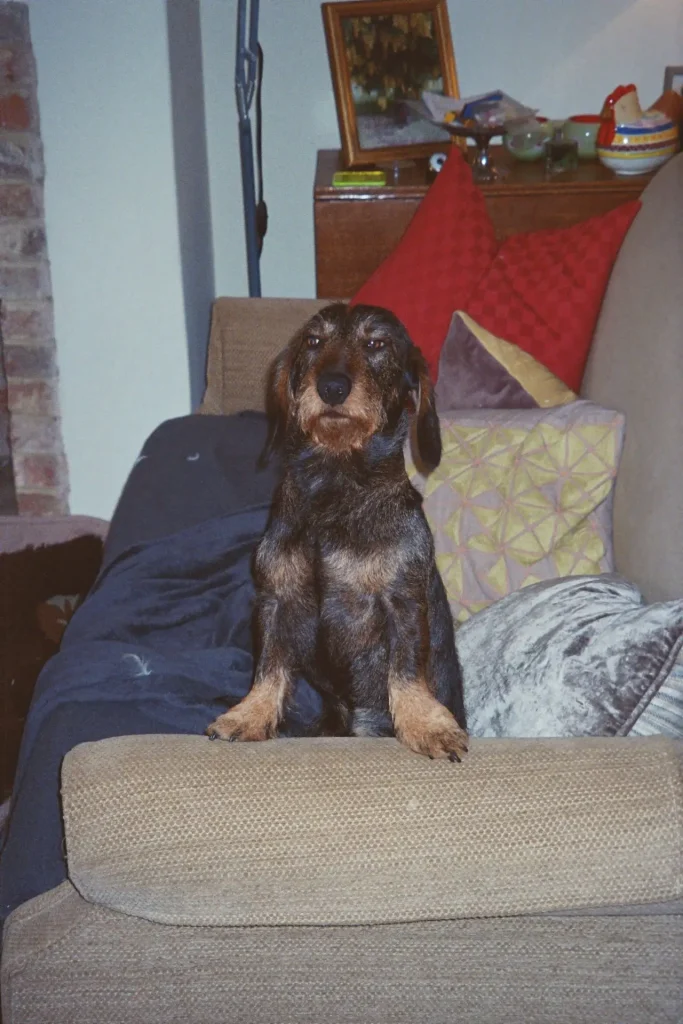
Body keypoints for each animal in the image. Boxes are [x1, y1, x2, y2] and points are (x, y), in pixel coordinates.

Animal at [205, 303, 466, 761]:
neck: (335, 487)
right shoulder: (276, 599)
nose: (331, 387)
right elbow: (269, 666)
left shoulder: (402, 601)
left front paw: (426, 724)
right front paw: (249, 715)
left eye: (377, 343)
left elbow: (406, 670)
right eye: (313, 341)